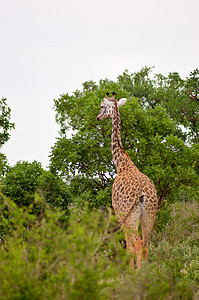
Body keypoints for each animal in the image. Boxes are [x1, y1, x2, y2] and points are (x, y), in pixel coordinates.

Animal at [96, 92, 159, 270]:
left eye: (102, 106)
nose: (98, 117)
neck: (122, 164)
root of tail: (143, 193)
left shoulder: (119, 212)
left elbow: (129, 246)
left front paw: (130, 271)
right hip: (149, 215)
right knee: (146, 245)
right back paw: (146, 273)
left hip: (131, 216)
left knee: (137, 244)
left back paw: (137, 273)